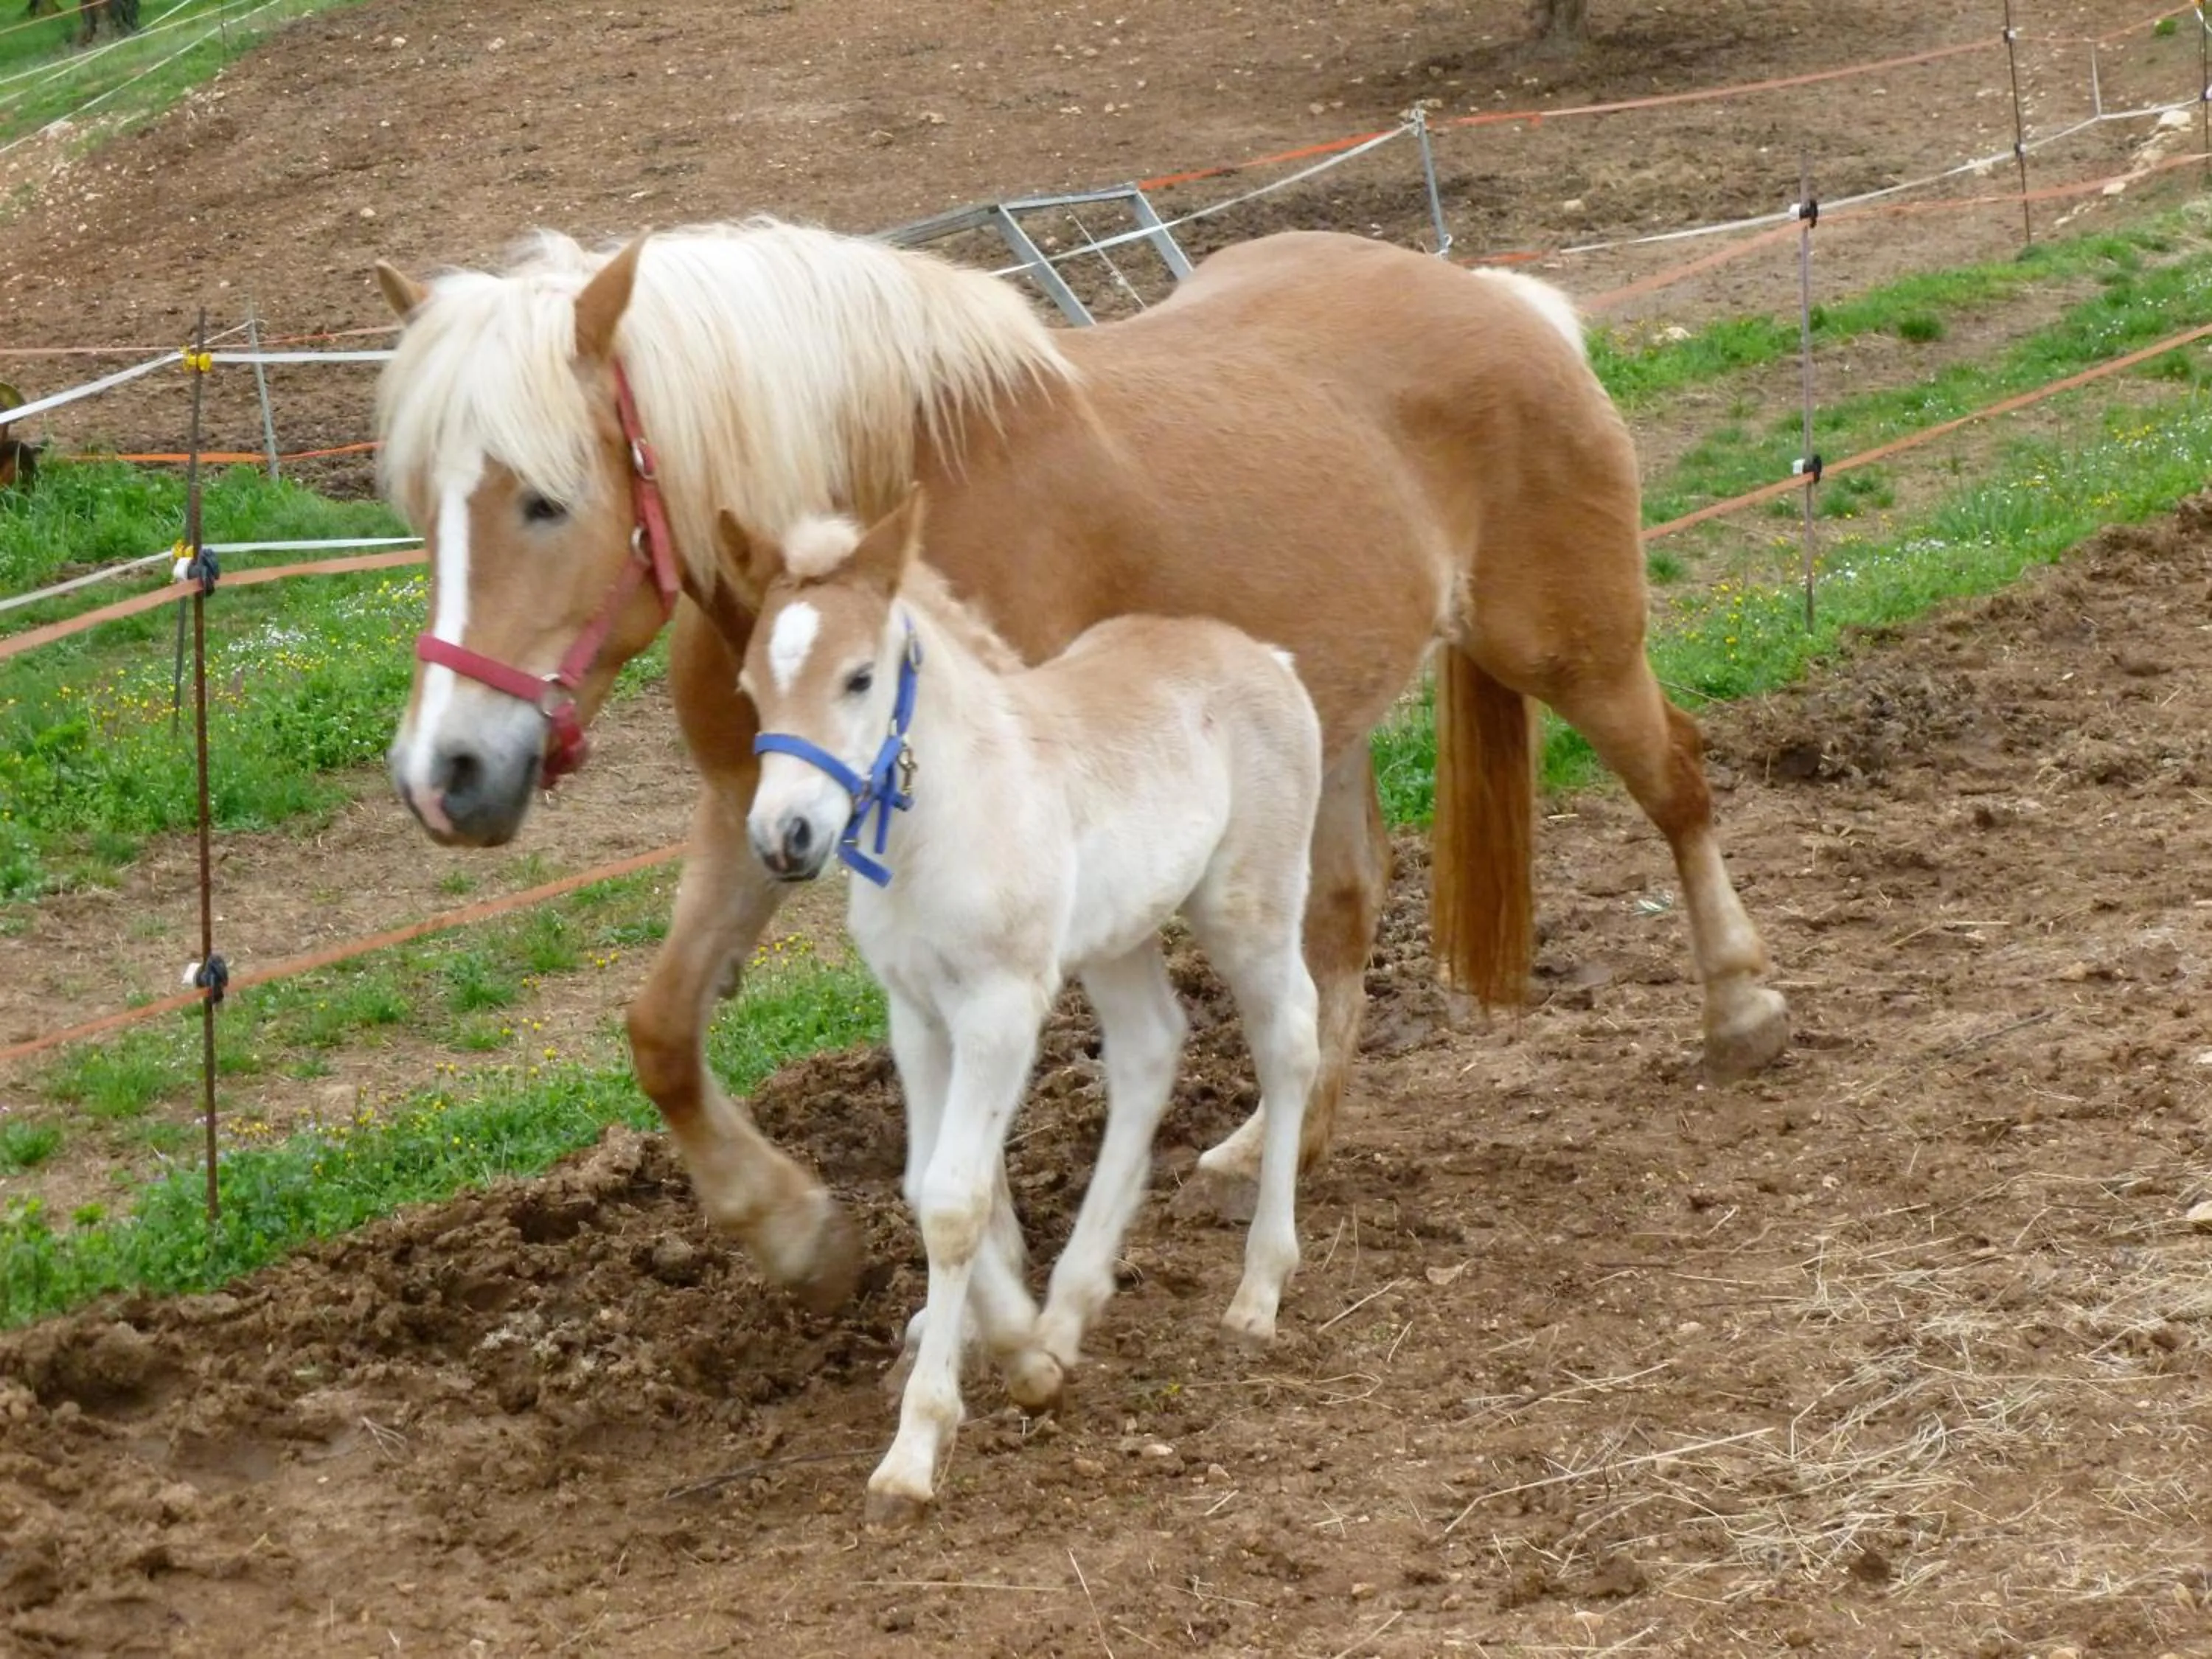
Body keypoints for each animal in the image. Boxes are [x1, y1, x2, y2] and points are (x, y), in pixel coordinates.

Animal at [369, 218, 1791, 1310]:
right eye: (419, 506)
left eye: (546, 499)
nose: (448, 774)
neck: (880, 530)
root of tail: (1503, 298)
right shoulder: (756, 814)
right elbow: (663, 1031)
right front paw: (798, 1233)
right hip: (1320, 732)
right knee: (1337, 920)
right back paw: (1282, 1138)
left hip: (1575, 653)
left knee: (1679, 781)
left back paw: (1741, 1008)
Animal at [718, 489, 1322, 1522]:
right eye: (753, 688)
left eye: (860, 677)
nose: (785, 837)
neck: (941, 824)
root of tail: (1266, 657)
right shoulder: (917, 1012)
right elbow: (932, 1185)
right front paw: (1023, 1349)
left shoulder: (1000, 1005)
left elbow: (954, 1200)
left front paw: (917, 1449)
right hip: (1117, 938)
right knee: (1151, 1050)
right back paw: (1074, 1303)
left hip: (1249, 906)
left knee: (1289, 1041)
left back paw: (1258, 1291)